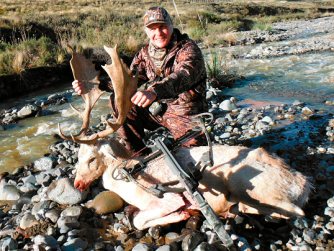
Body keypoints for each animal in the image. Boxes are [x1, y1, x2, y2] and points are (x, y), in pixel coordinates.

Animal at [58, 45, 312, 231]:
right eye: (77, 157)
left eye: (92, 158)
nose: (78, 183)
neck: (126, 173)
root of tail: (304, 185)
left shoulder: (166, 198)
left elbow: (139, 219)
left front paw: (180, 215)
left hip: (242, 181)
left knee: (295, 212)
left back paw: (232, 209)